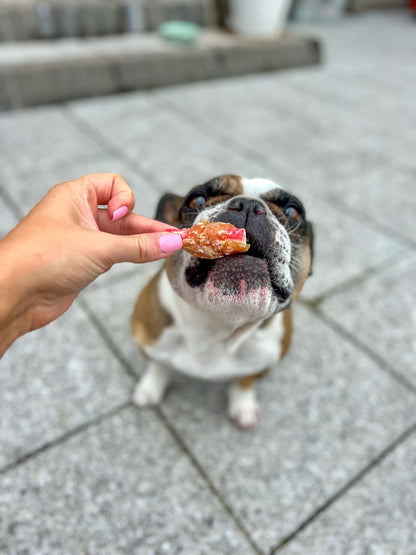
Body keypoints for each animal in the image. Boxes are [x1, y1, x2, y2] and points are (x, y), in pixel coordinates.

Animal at [130, 176, 312, 428]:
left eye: (293, 212)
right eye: (196, 200)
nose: (248, 205)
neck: (219, 327)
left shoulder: (261, 362)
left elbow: (245, 380)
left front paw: (243, 405)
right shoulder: (149, 339)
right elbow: (158, 364)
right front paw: (150, 389)